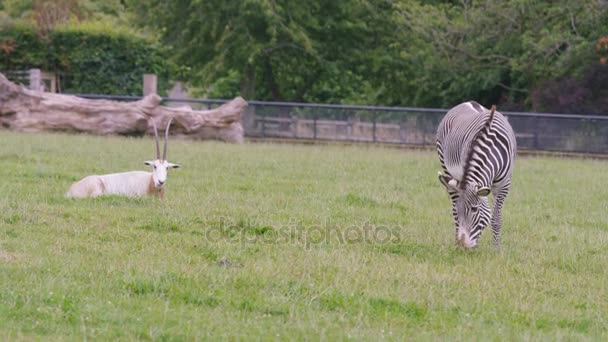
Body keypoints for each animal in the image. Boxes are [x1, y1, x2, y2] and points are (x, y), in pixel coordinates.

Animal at [434, 101, 516, 248]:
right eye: (461, 210)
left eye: (474, 209)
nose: (462, 245)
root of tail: (468, 102)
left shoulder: (504, 184)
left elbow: (495, 217)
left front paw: (496, 248)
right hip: (446, 166)